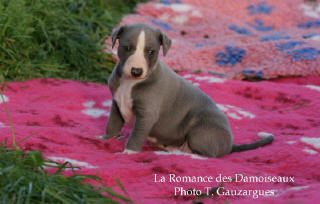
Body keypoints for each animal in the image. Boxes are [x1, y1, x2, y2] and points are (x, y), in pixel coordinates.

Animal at [104, 23, 272, 157]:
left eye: (151, 52)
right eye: (127, 48)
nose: (136, 71)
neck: (130, 83)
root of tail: (230, 145)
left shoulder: (147, 114)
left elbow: (137, 134)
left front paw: (129, 152)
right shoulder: (117, 103)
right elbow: (112, 123)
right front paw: (107, 139)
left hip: (200, 133)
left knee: (210, 154)